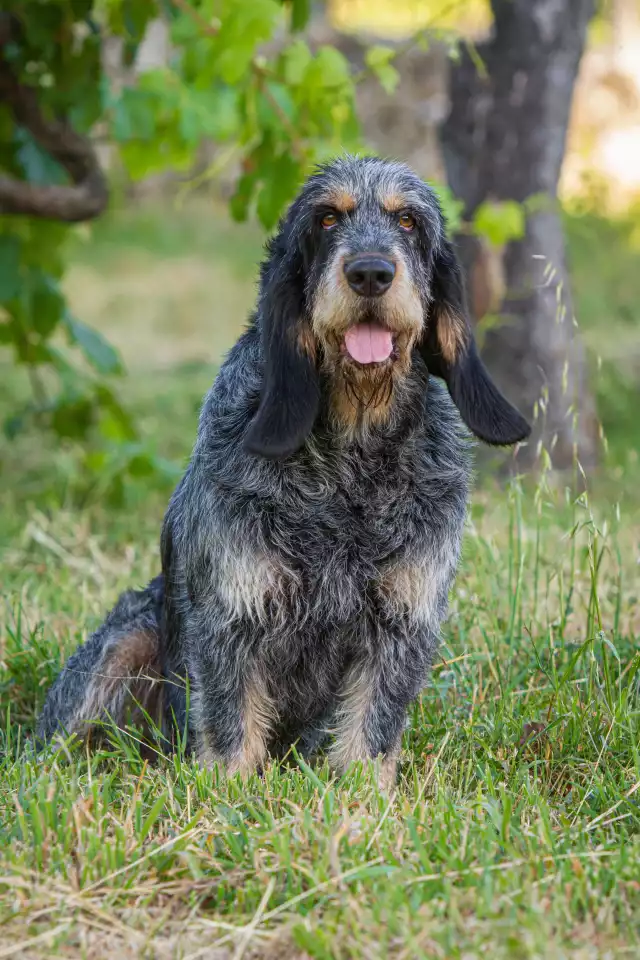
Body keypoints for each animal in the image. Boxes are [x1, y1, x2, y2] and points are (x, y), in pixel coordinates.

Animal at [38, 156, 528, 788]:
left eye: (409, 221)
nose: (371, 272)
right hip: (126, 641)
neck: (350, 462)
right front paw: (229, 799)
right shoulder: (231, 622)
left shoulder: (402, 627)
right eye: (326, 219)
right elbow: (230, 730)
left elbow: (371, 731)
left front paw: (365, 799)